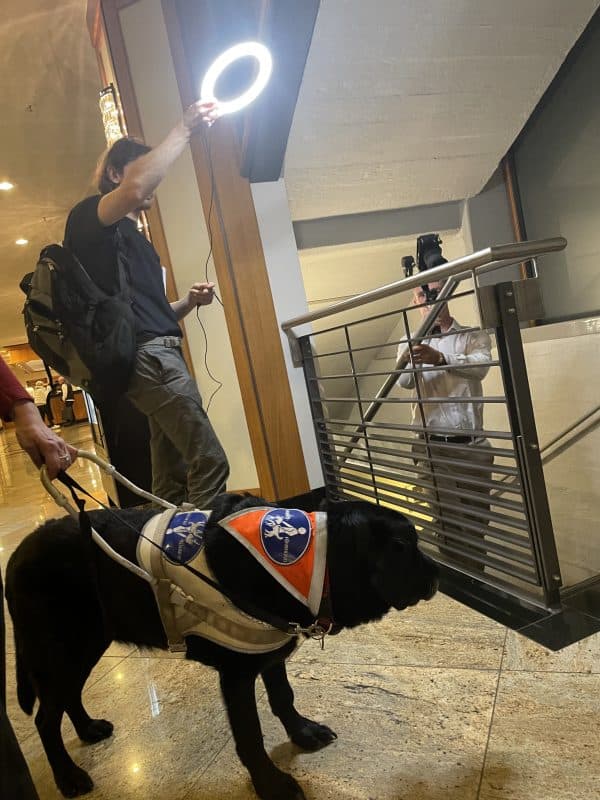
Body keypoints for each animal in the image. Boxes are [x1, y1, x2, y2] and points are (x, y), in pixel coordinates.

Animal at [3, 494, 436, 800]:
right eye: (404, 545)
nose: (437, 574)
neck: (304, 566)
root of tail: (16, 555)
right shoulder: (237, 673)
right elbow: (250, 734)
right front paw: (271, 784)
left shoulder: (269, 652)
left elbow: (283, 697)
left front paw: (302, 733)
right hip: (61, 647)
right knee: (45, 719)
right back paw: (68, 776)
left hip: (84, 645)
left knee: (66, 698)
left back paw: (89, 729)